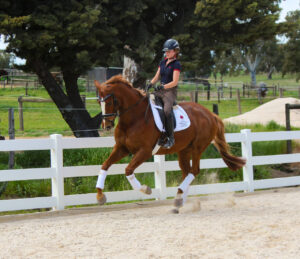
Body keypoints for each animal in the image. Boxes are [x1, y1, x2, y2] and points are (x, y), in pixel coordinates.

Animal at [94, 75, 246, 213]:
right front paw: (100, 196)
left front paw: (146, 189)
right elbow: (105, 165)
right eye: (98, 102)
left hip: (198, 147)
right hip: (184, 150)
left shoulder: (145, 151)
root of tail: (210, 114)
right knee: (187, 172)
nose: (106, 126)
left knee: (194, 171)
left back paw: (178, 199)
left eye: (109, 102)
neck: (133, 118)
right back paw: (178, 203)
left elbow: (128, 170)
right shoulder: (122, 148)